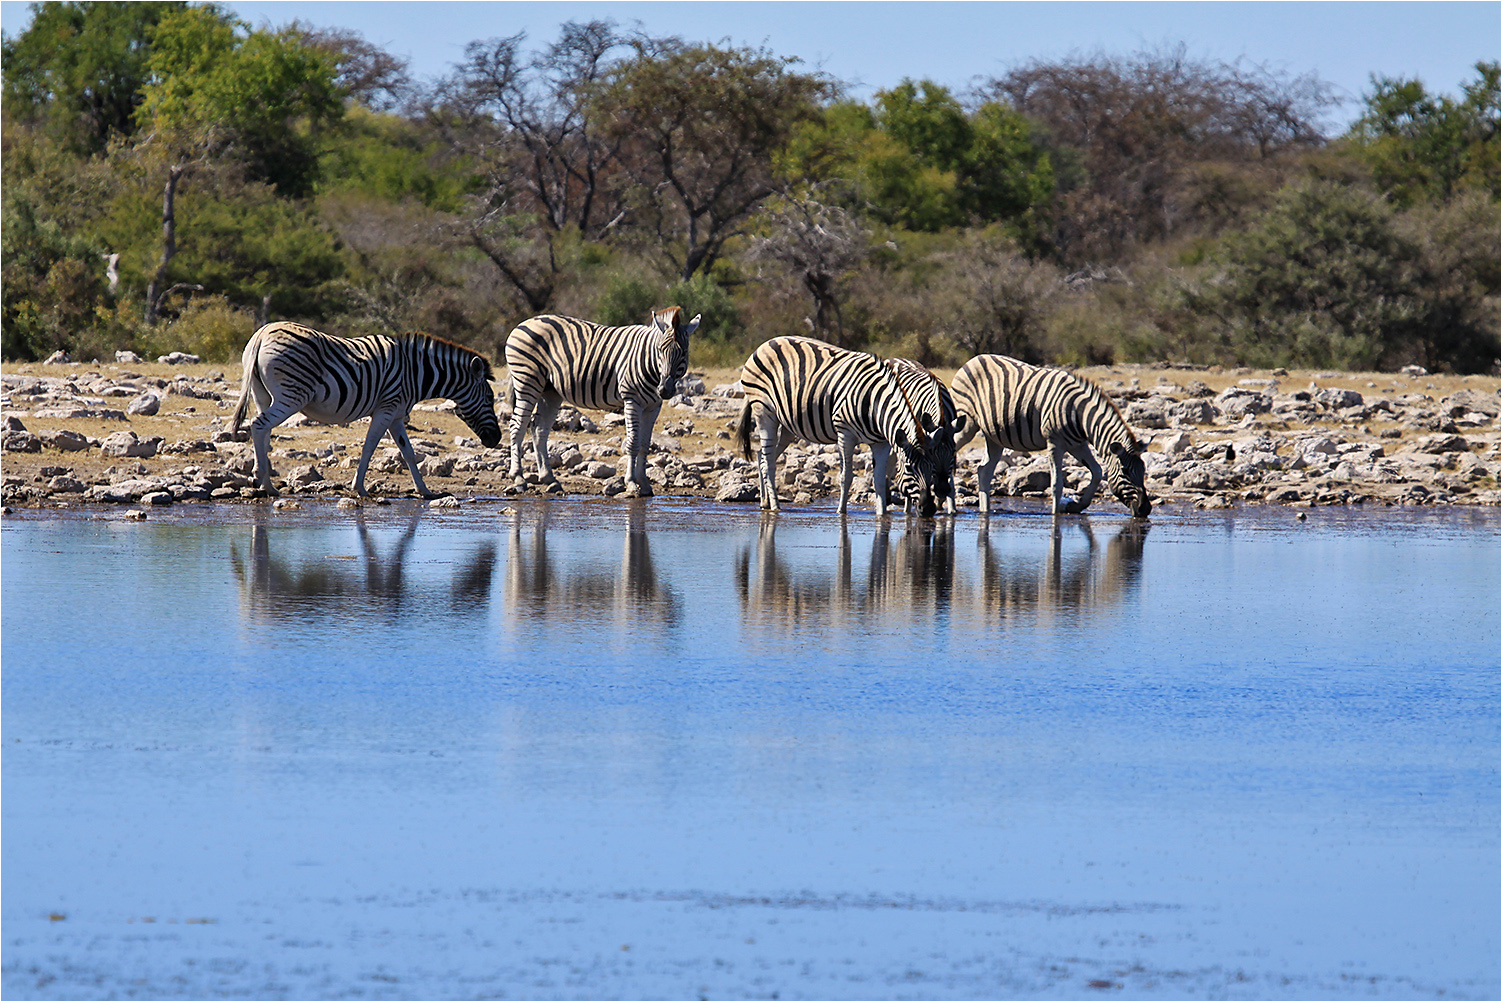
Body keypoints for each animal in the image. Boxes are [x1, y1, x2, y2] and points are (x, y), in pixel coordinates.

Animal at [228, 323, 498, 499]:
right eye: (489, 398)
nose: (496, 440)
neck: (415, 372)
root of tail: (262, 333)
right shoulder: (386, 409)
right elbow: (369, 448)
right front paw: (359, 488)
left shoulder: (397, 415)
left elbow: (409, 453)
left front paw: (425, 491)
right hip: (292, 395)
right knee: (259, 425)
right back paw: (263, 481)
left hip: (262, 394)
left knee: (264, 432)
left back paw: (267, 484)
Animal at [498, 303, 697, 496]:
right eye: (659, 350)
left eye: (684, 352)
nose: (665, 390)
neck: (651, 366)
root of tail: (524, 323)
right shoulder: (632, 400)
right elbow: (633, 442)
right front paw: (631, 483)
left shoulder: (653, 406)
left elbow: (644, 444)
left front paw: (645, 484)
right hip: (527, 381)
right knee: (517, 426)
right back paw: (519, 478)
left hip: (550, 391)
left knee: (539, 429)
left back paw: (549, 479)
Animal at [730, 336, 931, 517]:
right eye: (909, 468)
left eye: (932, 468)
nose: (927, 509)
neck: (875, 405)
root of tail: (765, 344)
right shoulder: (845, 433)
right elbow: (846, 476)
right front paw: (841, 512)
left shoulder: (882, 443)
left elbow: (880, 480)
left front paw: (882, 515)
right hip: (765, 412)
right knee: (769, 462)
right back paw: (775, 506)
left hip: (788, 424)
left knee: (762, 456)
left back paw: (764, 502)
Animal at [949, 354, 1148, 517]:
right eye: (1125, 471)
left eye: (1144, 470)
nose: (1145, 509)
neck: (1080, 415)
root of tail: (973, 359)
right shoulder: (1055, 442)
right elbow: (1056, 484)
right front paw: (1055, 516)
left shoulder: (1077, 444)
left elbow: (1098, 472)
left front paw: (1076, 506)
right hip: (966, 424)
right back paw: (951, 508)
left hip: (994, 435)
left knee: (984, 470)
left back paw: (986, 511)